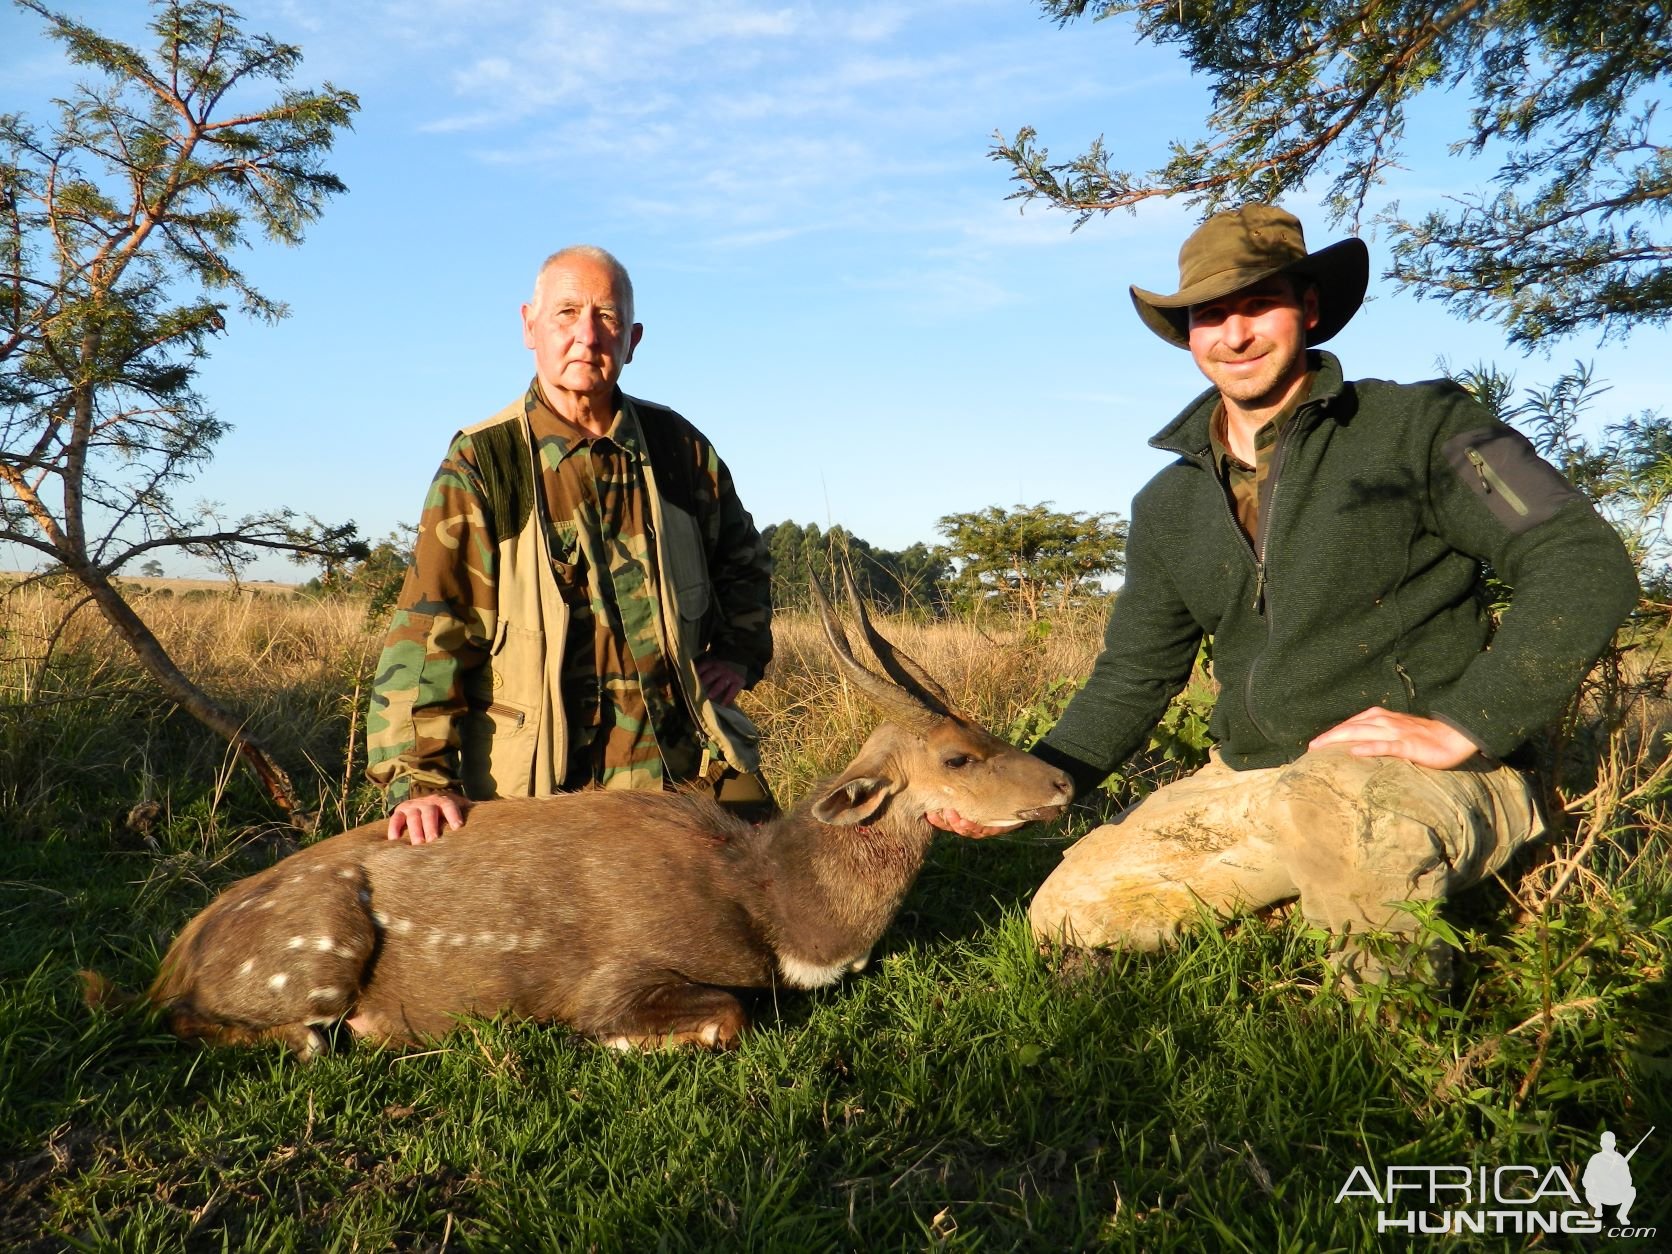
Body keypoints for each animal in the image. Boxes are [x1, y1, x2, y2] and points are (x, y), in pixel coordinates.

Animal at [88, 578, 1070, 1063]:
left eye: (978, 734)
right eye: (957, 757)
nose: (1061, 784)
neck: (771, 903)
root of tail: (174, 958)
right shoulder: (623, 976)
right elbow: (724, 1017)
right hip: (318, 952)